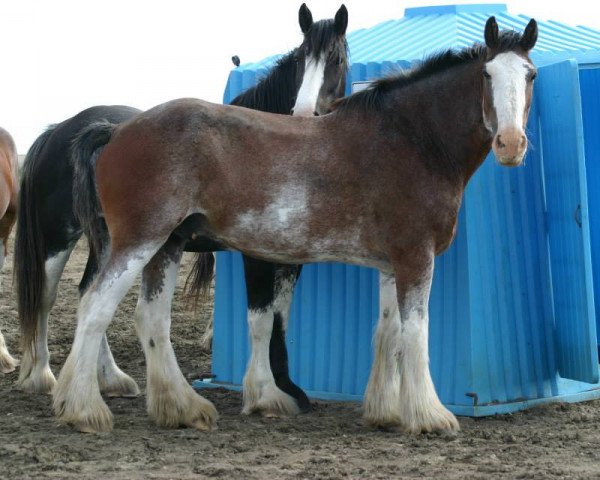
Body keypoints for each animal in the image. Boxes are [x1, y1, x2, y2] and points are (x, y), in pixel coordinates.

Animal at [15, 3, 346, 408]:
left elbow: (280, 315)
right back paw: (41, 375)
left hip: (113, 240)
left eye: (336, 58)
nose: (304, 114)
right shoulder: (255, 254)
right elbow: (263, 317)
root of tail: (59, 131)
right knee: (47, 297)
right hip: (58, 238)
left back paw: (110, 378)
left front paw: (287, 388)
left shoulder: (289, 258)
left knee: (88, 293)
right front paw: (267, 392)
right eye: (301, 58)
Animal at [58, 16, 540, 434]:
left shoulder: (392, 264)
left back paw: (181, 408)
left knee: (151, 319)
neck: (411, 139)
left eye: (531, 75)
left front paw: (386, 411)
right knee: (95, 308)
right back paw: (84, 409)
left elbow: (388, 332)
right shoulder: (415, 259)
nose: (510, 144)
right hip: (140, 241)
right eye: (488, 75)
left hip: (167, 245)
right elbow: (416, 333)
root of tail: (117, 131)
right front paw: (429, 416)